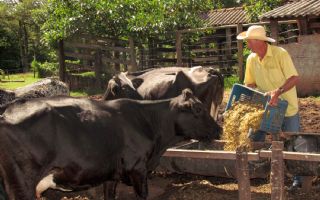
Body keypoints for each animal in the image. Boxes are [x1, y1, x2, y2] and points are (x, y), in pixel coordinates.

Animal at [0, 89, 220, 200]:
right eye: (199, 109)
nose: (219, 129)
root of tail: (7, 110)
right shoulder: (138, 169)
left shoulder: (110, 174)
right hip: (21, 184)